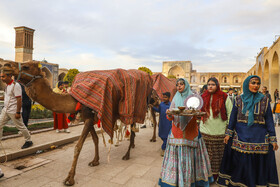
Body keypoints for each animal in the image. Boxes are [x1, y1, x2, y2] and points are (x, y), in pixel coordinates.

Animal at [2, 61, 153, 186]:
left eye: (26, 66)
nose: (6, 66)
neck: (75, 99)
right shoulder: (88, 118)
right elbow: (95, 139)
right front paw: (95, 161)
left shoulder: (89, 118)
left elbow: (78, 147)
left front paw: (69, 179)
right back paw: (131, 146)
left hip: (133, 108)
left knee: (132, 129)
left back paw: (127, 155)